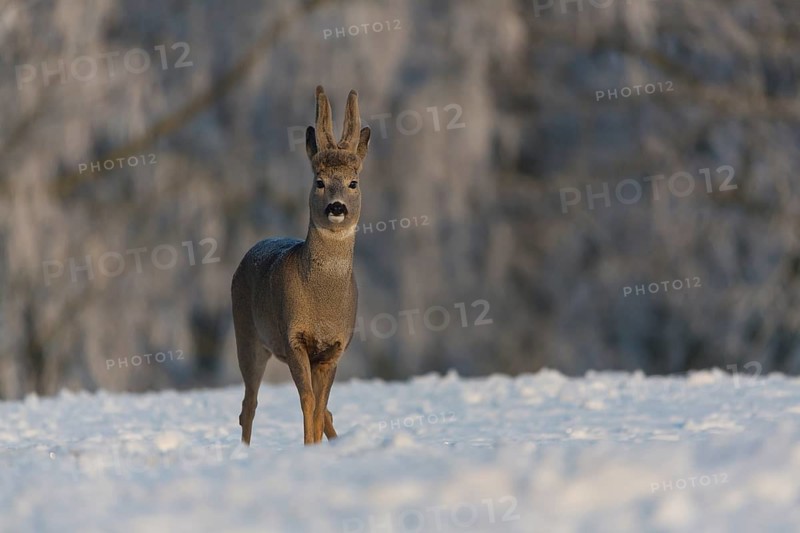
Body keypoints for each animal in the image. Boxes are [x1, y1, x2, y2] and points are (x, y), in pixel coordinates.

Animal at [232, 86, 370, 446]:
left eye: (353, 183)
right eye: (319, 181)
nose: (336, 207)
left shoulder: (334, 347)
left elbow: (321, 404)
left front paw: (316, 446)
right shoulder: (294, 337)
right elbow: (307, 400)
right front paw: (308, 447)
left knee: (325, 410)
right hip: (247, 335)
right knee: (248, 404)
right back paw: (244, 451)